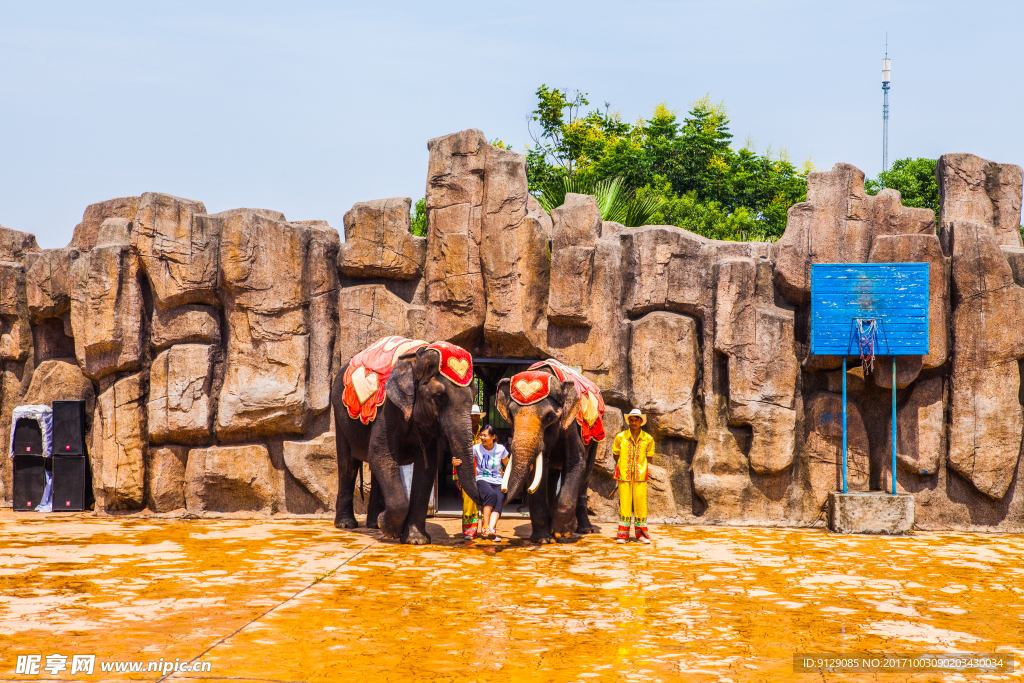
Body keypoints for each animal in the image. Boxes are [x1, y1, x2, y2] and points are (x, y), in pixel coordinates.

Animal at [331, 335, 483, 544]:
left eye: (474, 395)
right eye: (439, 396)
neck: (417, 358)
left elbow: (427, 466)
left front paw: (415, 540)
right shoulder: (388, 407)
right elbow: (381, 453)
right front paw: (390, 530)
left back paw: (374, 524)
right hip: (340, 413)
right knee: (348, 463)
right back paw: (347, 525)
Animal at [493, 360, 602, 540]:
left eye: (549, 417)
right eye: (511, 415)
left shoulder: (570, 424)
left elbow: (576, 461)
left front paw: (563, 533)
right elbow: (538, 470)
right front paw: (543, 539)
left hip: (594, 440)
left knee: (587, 471)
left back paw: (585, 530)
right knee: (551, 474)